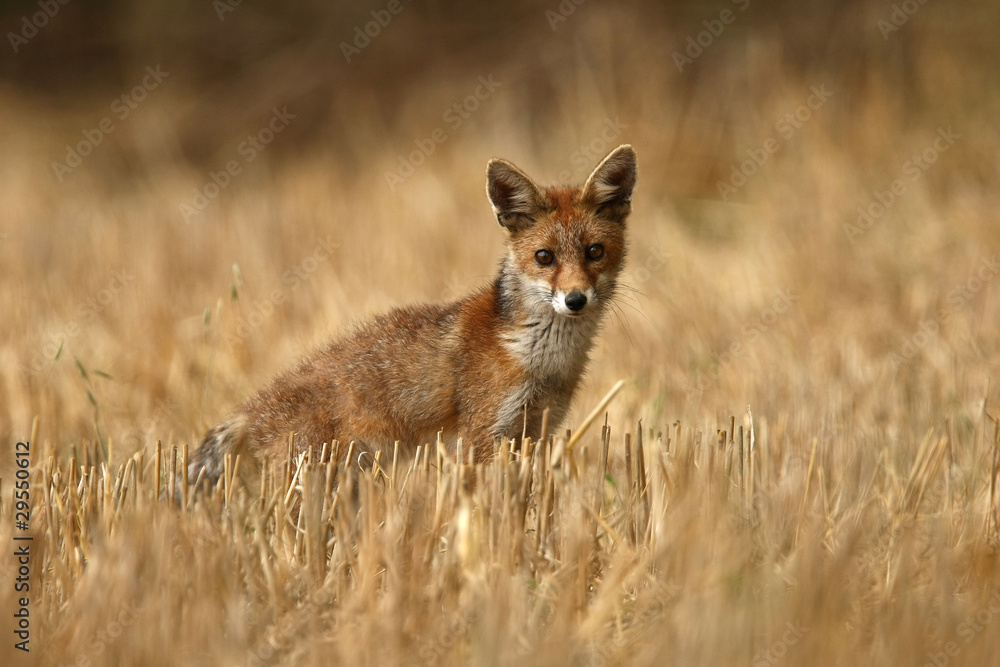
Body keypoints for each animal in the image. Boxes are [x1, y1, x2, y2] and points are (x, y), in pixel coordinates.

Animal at [187, 144, 637, 488]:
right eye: (545, 257)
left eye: (594, 251)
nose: (575, 299)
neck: (539, 359)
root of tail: (249, 411)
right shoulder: (481, 438)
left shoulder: (535, 433)